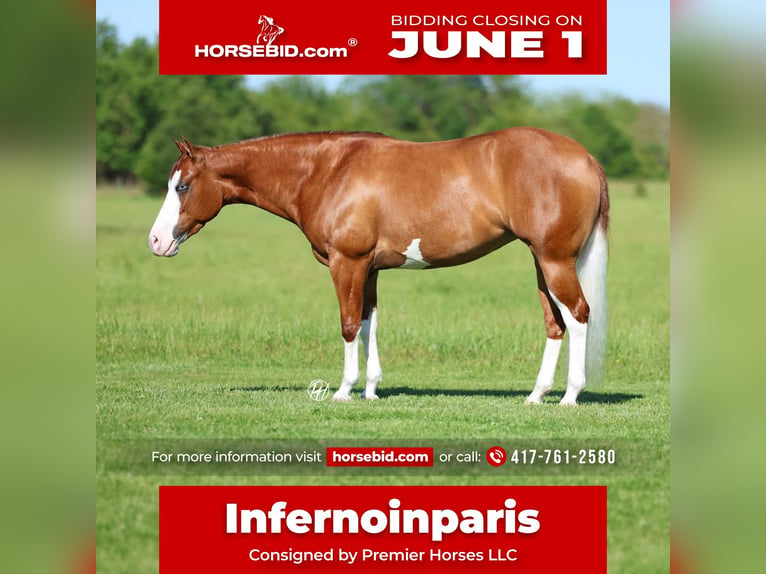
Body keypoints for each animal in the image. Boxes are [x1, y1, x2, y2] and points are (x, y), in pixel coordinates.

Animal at [148, 129, 609, 405]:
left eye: (182, 186)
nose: (156, 241)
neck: (326, 170)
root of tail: (586, 156)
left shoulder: (346, 263)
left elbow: (349, 324)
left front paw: (343, 390)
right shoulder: (368, 269)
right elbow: (369, 323)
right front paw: (370, 390)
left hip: (553, 260)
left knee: (578, 315)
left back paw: (570, 396)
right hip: (541, 261)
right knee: (555, 323)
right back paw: (536, 395)